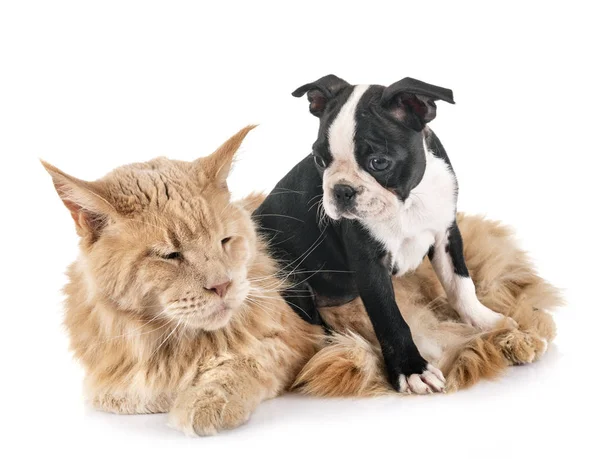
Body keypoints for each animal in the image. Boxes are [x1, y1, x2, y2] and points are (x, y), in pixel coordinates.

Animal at [43, 125, 564, 434]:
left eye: (225, 242)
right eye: (170, 255)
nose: (222, 286)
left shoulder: (296, 337)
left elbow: (242, 367)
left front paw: (205, 403)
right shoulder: (110, 384)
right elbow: (128, 394)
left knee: (463, 321)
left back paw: (512, 337)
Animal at [253, 75, 516, 396]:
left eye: (379, 162)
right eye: (319, 159)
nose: (341, 190)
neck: (407, 202)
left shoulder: (447, 233)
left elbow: (461, 285)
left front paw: (484, 321)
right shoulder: (368, 261)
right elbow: (390, 318)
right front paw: (412, 369)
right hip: (285, 271)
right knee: (311, 324)